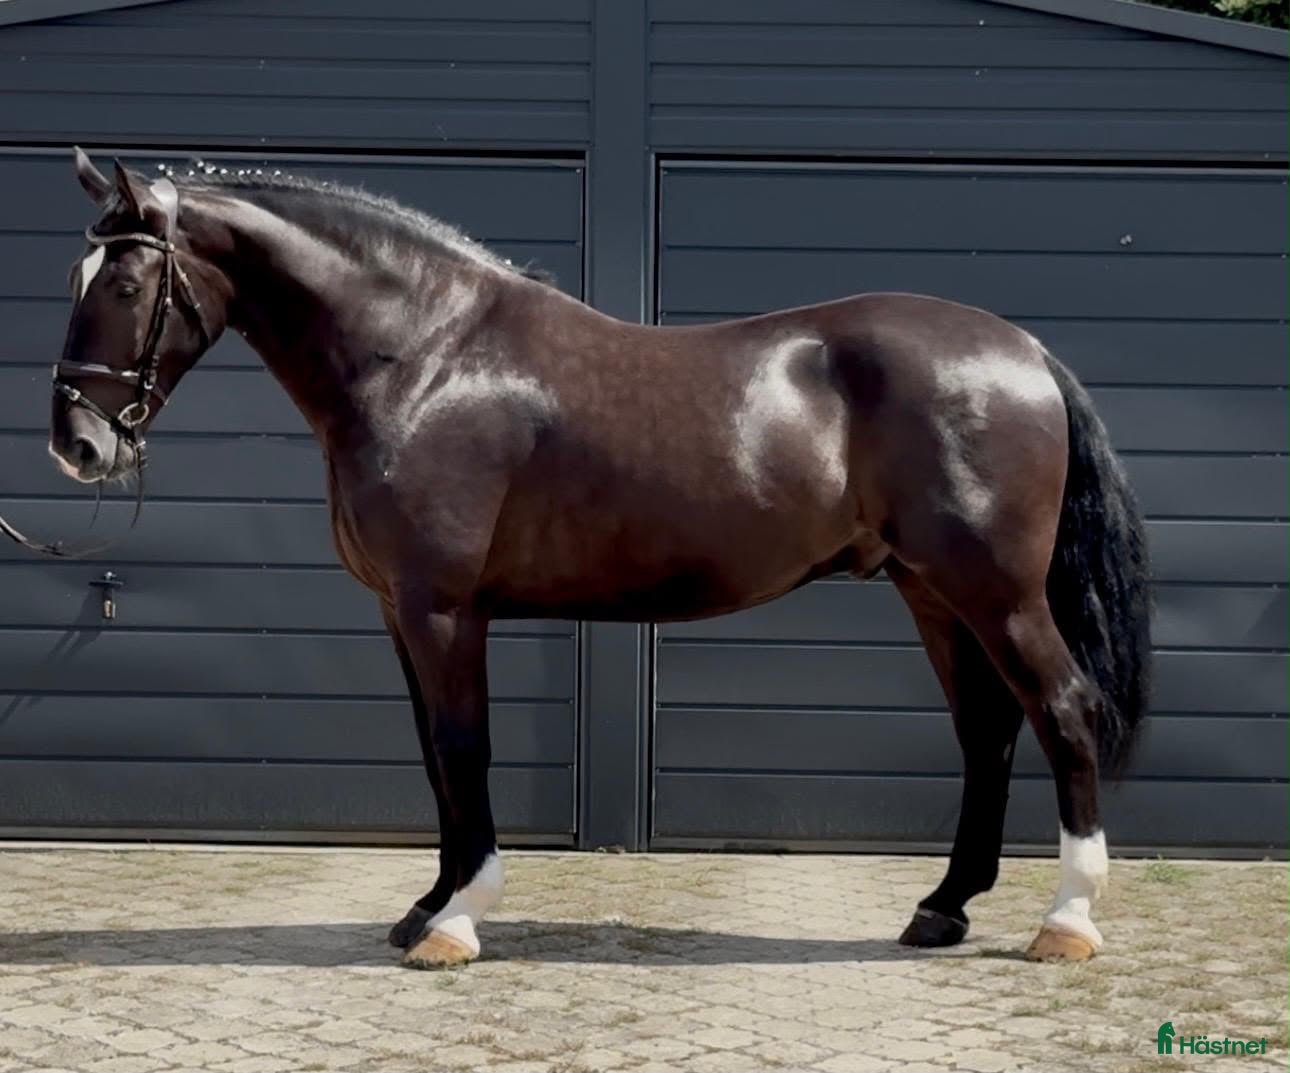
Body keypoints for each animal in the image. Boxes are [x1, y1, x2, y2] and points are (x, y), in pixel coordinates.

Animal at [41, 147, 1150, 969]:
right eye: (78, 277)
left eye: (129, 279)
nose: (79, 444)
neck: (426, 356)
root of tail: (1023, 352)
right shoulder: (401, 611)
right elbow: (433, 756)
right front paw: (427, 904)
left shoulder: (443, 606)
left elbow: (464, 748)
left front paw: (456, 920)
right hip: (931, 591)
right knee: (987, 732)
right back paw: (943, 907)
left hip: (995, 591)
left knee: (1062, 709)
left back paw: (1066, 921)